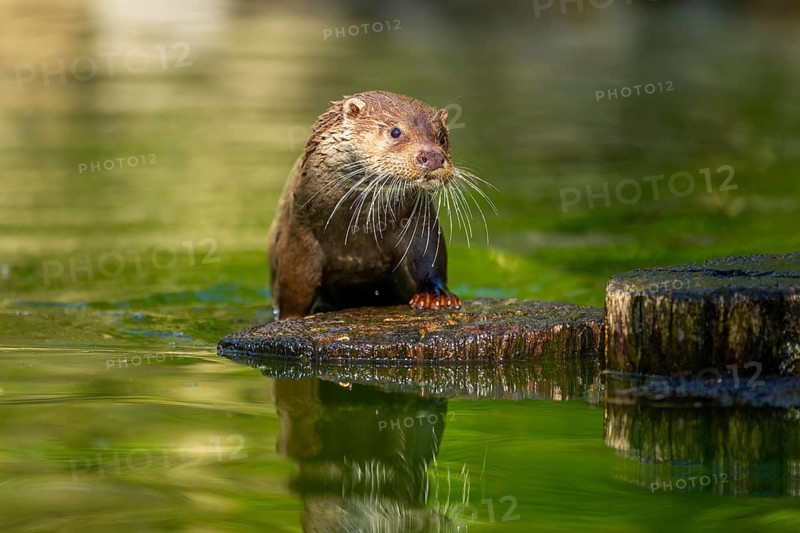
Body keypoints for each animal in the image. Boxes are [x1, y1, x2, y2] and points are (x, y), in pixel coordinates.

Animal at [268, 90, 489, 320]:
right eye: (395, 132)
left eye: (442, 137)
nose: (433, 156)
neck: (359, 233)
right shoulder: (300, 233)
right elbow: (295, 289)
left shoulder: (421, 224)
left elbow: (429, 258)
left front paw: (435, 296)